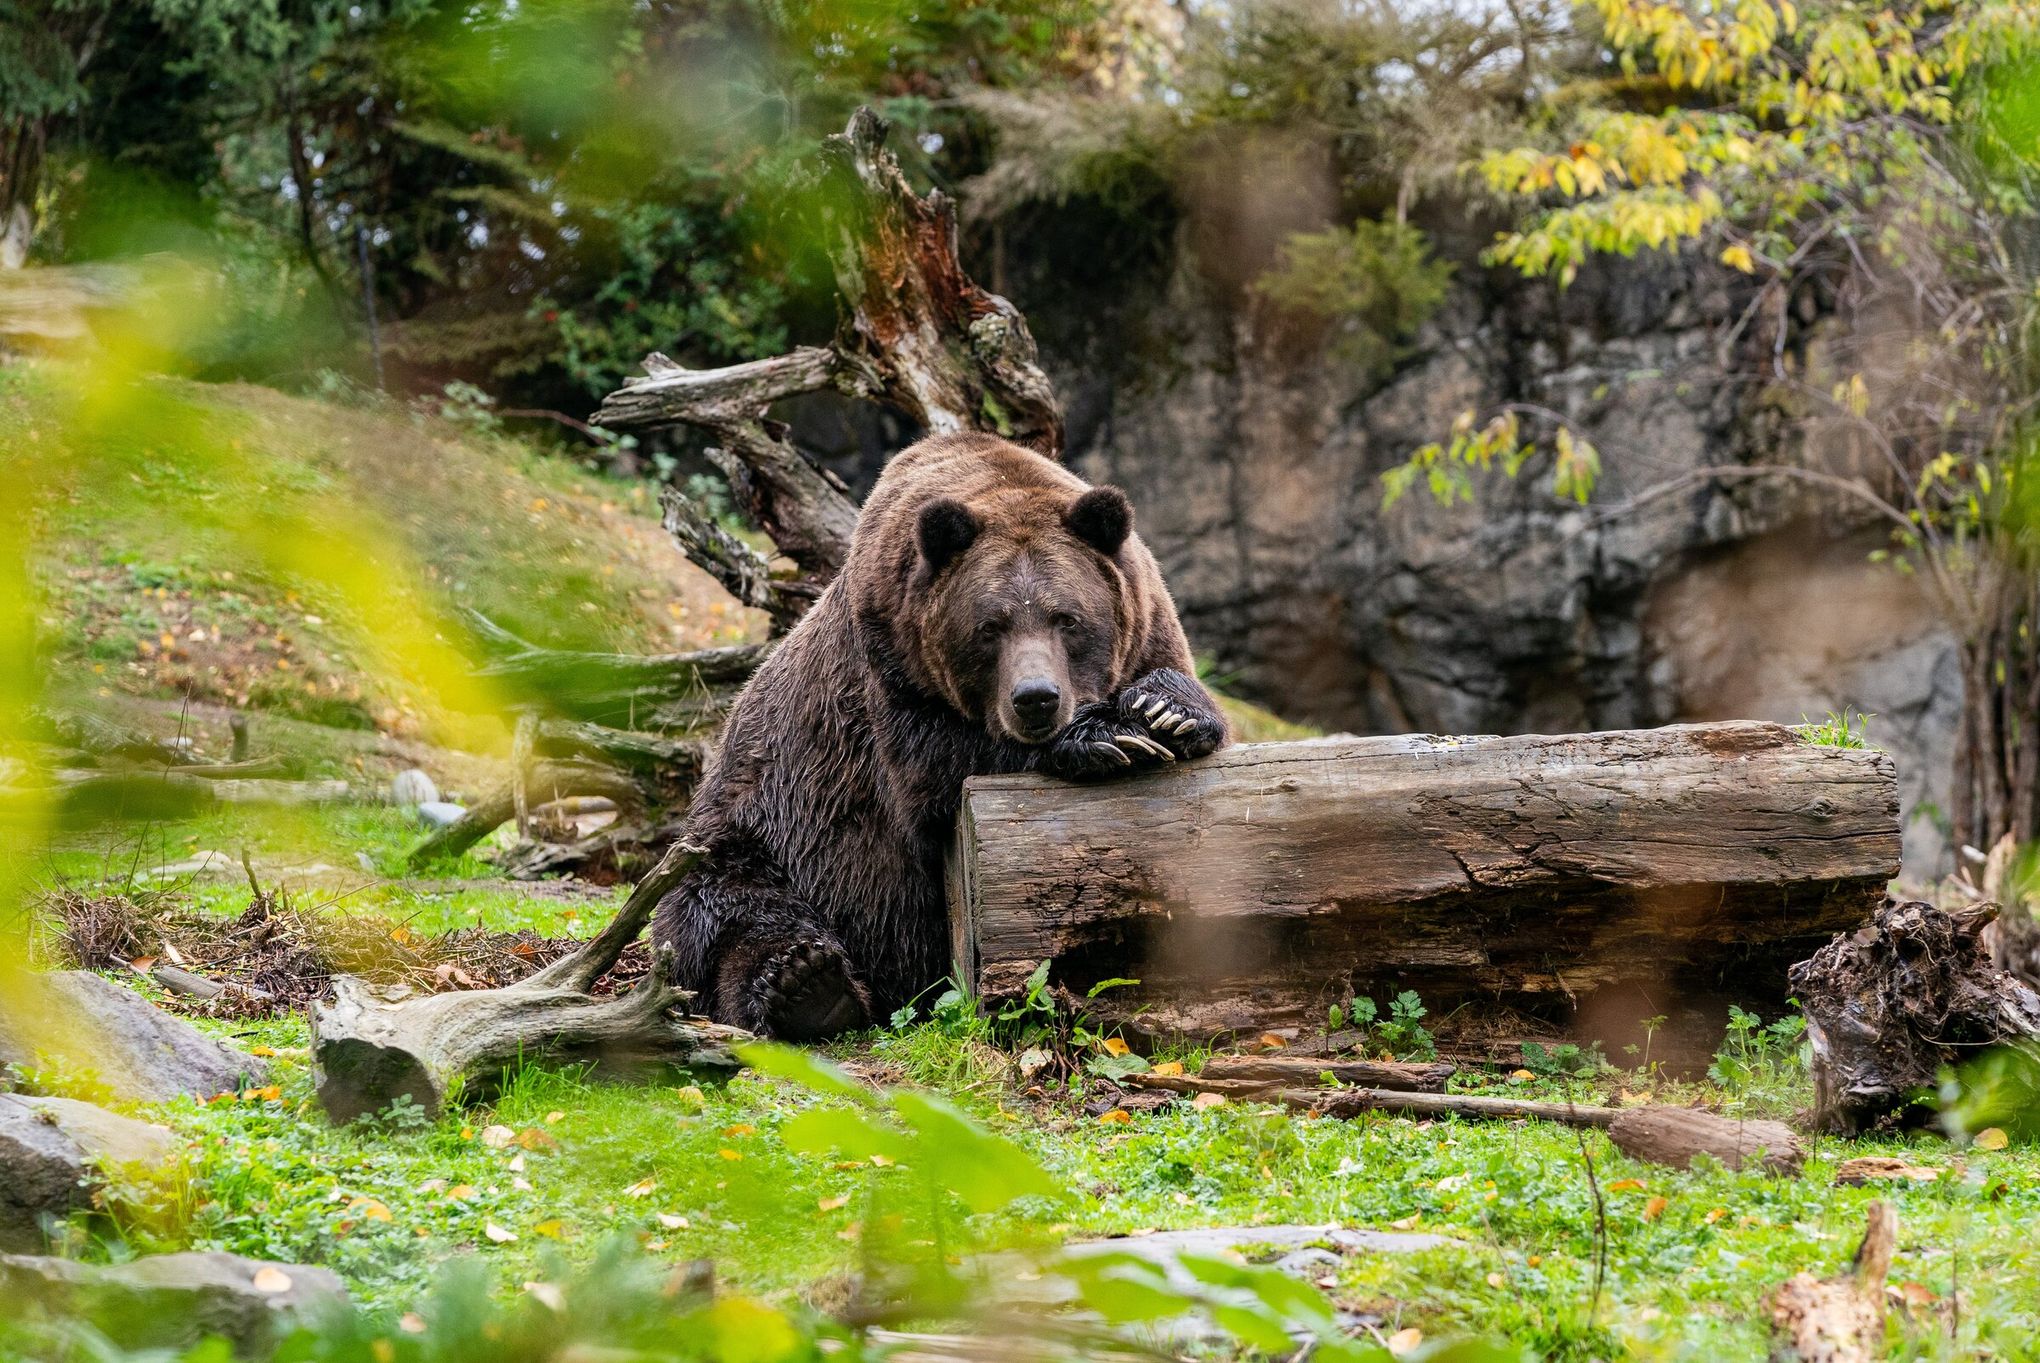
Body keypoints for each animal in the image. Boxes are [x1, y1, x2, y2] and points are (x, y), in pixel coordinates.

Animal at [652, 430, 1224, 1036]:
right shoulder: (891, 671)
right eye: (991, 626)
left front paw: (1164, 711)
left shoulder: (1148, 626)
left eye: (1066, 618)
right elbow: (939, 770)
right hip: (760, 834)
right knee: (723, 914)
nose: (1036, 700)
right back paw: (803, 984)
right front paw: (1104, 736)